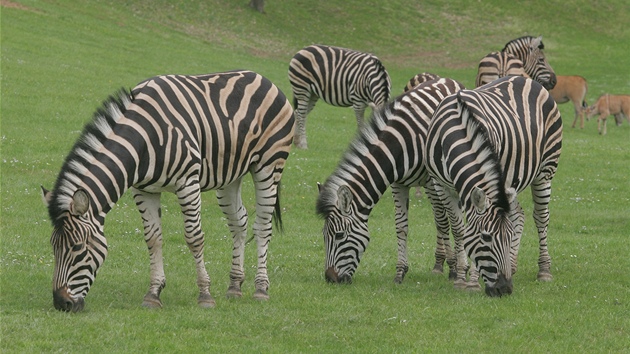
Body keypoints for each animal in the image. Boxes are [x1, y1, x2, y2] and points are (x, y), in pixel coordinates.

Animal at [40, 70, 296, 312]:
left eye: (77, 248)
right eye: (53, 246)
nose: (61, 303)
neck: (144, 140)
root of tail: (262, 78)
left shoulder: (188, 183)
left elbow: (194, 237)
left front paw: (205, 294)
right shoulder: (144, 190)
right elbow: (153, 239)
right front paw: (153, 293)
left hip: (269, 166)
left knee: (262, 226)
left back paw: (261, 288)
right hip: (231, 176)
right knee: (239, 222)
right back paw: (234, 286)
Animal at [316, 78, 464, 284]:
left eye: (339, 235)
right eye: (323, 235)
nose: (330, 278)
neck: (398, 146)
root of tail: (447, 79)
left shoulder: (432, 181)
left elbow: (443, 221)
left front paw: (454, 268)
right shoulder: (397, 184)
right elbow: (401, 226)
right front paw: (400, 272)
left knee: (445, 217)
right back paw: (440, 263)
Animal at [428, 76, 564, 298]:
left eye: (507, 238)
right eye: (486, 237)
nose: (505, 289)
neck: (455, 132)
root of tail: (527, 79)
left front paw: (472, 282)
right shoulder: (440, 185)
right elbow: (458, 229)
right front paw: (460, 277)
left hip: (546, 170)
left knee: (541, 217)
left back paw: (544, 270)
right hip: (510, 180)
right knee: (519, 214)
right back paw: (514, 266)